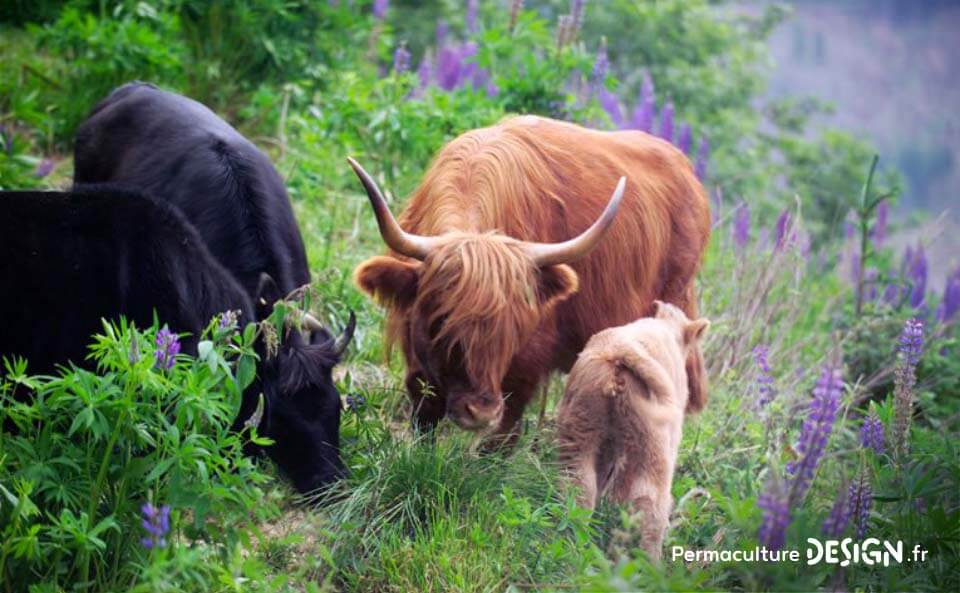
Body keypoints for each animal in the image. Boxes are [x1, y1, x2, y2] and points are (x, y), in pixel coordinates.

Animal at [352, 115, 712, 442]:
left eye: (514, 328)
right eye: (441, 321)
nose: (479, 412)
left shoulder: (531, 353)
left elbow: (507, 423)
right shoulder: (413, 335)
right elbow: (423, 406)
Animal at [552, 300, 708, 560]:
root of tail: (620, 351)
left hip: (581, 422)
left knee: (578, 482)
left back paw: (574, 541)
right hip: (652, 443)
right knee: (649, 503)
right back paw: (649, 563)